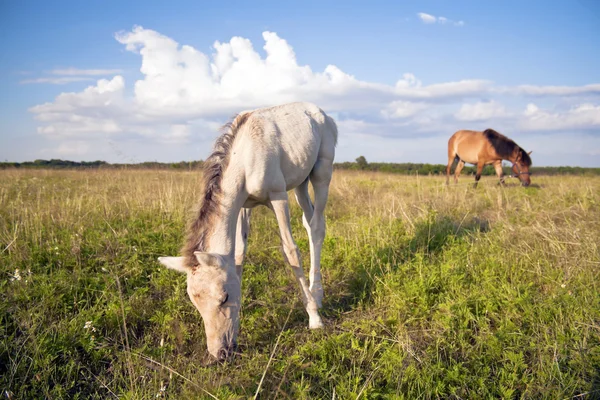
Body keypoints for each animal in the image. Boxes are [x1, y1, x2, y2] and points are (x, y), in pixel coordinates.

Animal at [158, 101, 338, 360]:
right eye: (194, 302)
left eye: (224, 297)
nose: (219, 353)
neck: (244, 158)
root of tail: (322, 114)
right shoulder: (243, 205)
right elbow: (239, 254)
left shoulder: (277, 196)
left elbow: (291, 251)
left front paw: (314, 319)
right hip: (300, 182)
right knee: (308, 217)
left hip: (322, 171)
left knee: (317, 226)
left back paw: (318, 295)